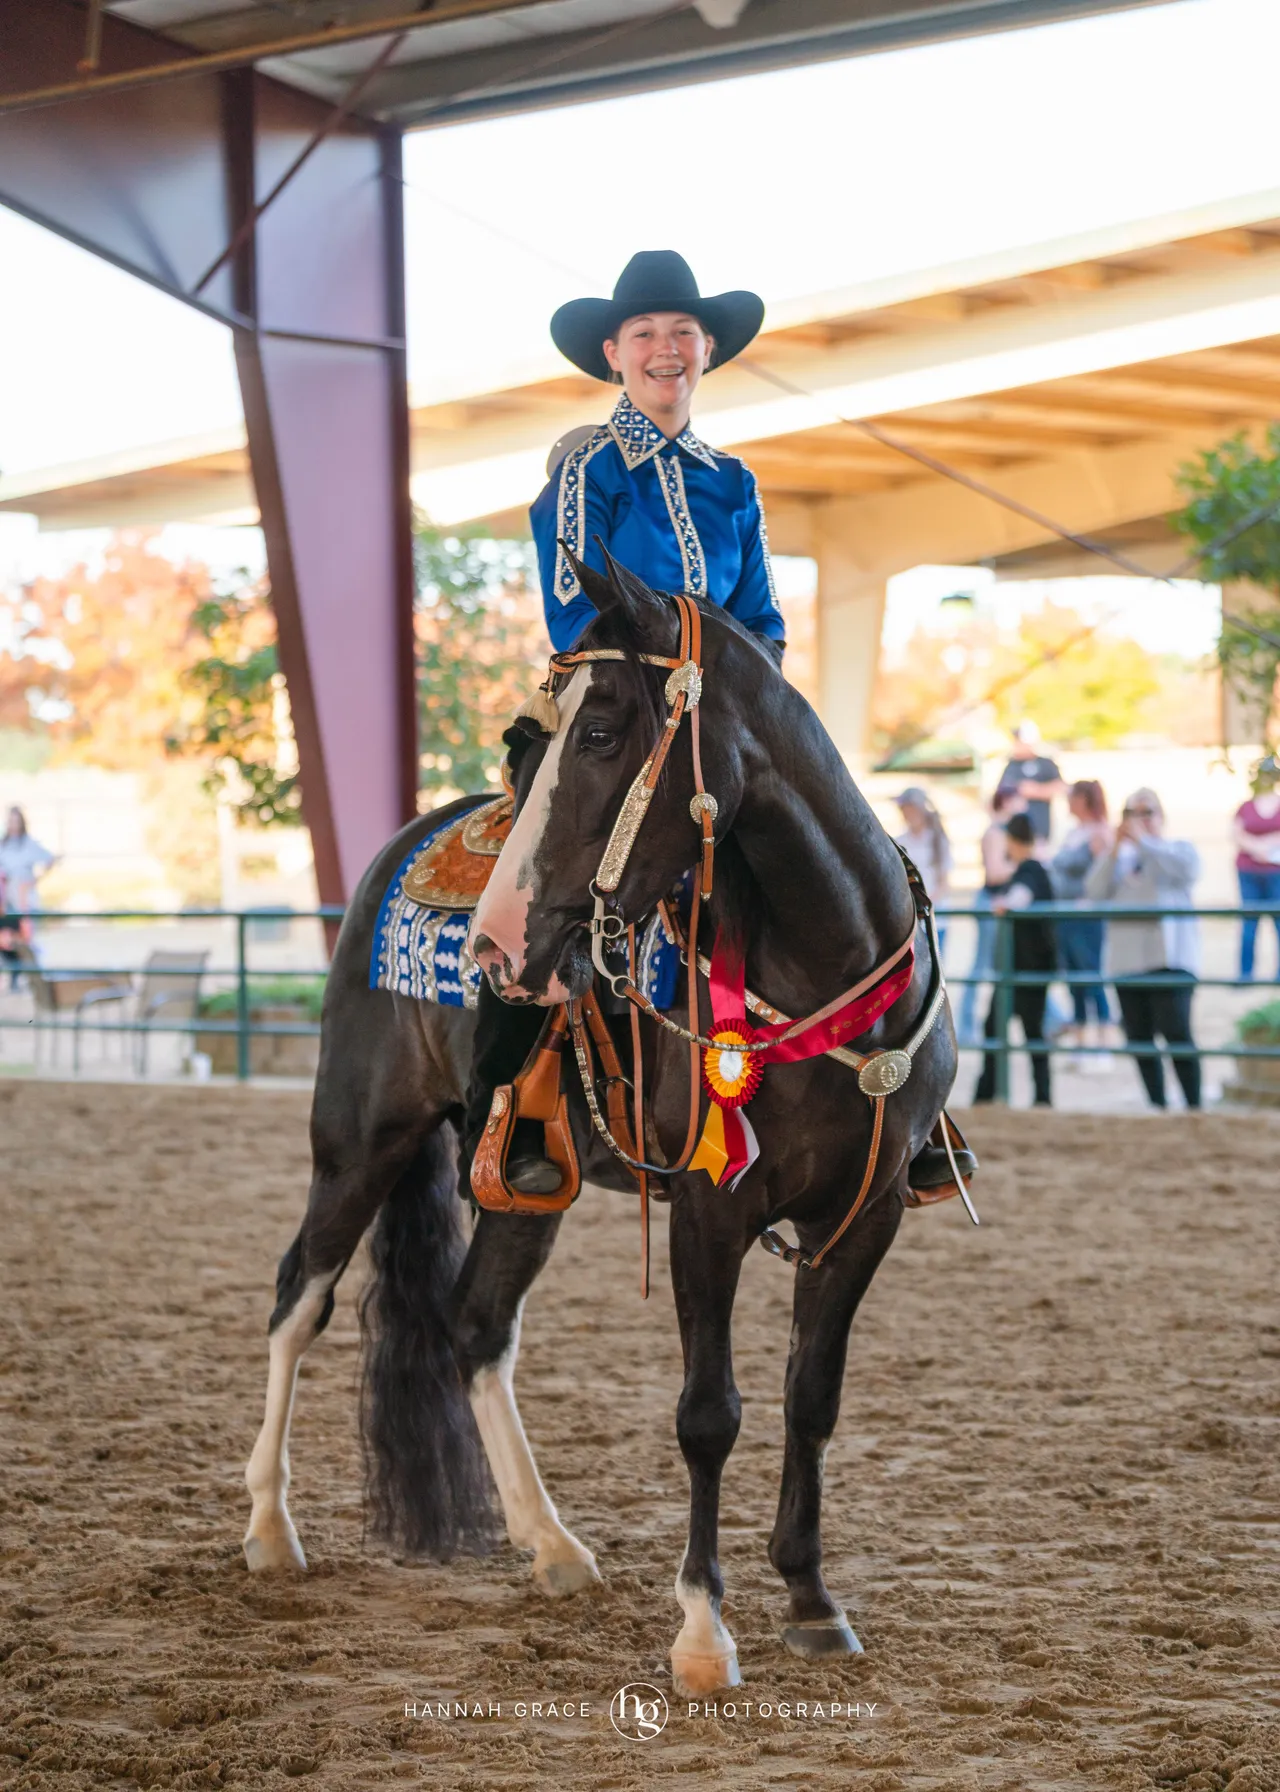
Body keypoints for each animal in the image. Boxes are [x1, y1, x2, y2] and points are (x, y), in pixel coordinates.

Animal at [242, 552, 960, 1697]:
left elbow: (812, 1399)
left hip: (520, 1182)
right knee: (297, 1299)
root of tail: (399, 847)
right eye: (530, 742)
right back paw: (270, 1527)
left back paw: (551, 1545)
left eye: (602, 732)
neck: (823, 963)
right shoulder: (710, 1209)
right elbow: (709, 1412)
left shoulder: (865, 1213)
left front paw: (810, 1600)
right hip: (360, 1139)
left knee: (474, 1326)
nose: (494, 944)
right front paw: (703, 1630)